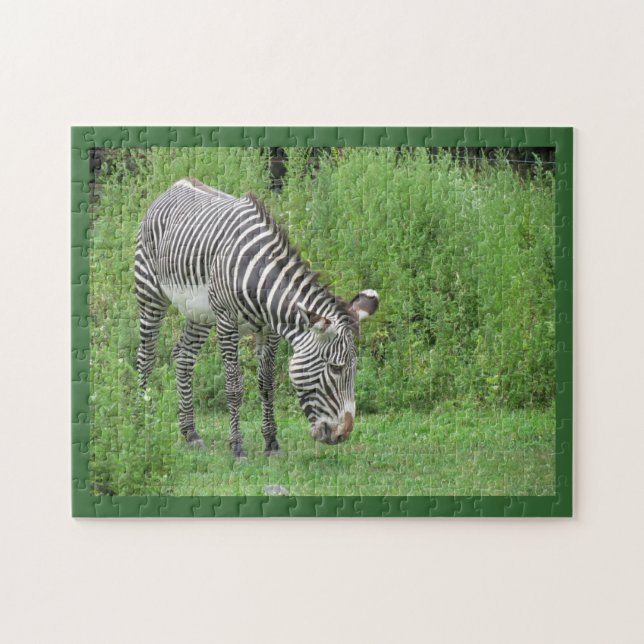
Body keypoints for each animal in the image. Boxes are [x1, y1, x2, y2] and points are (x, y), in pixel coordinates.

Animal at [135, 177, 379, 457]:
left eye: (355, 368)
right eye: (336, 368)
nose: (342, 434)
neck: (261, 283)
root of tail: (177, 183)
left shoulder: (269, 330)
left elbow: (266, 384)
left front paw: (271, 442)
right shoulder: (227, 322)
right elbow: (234, 386)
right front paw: (237, 446)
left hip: (199, 312)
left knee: (184, 357)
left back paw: (190, 433)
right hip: (150, 293)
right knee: (146, 357)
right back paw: (140, 424)